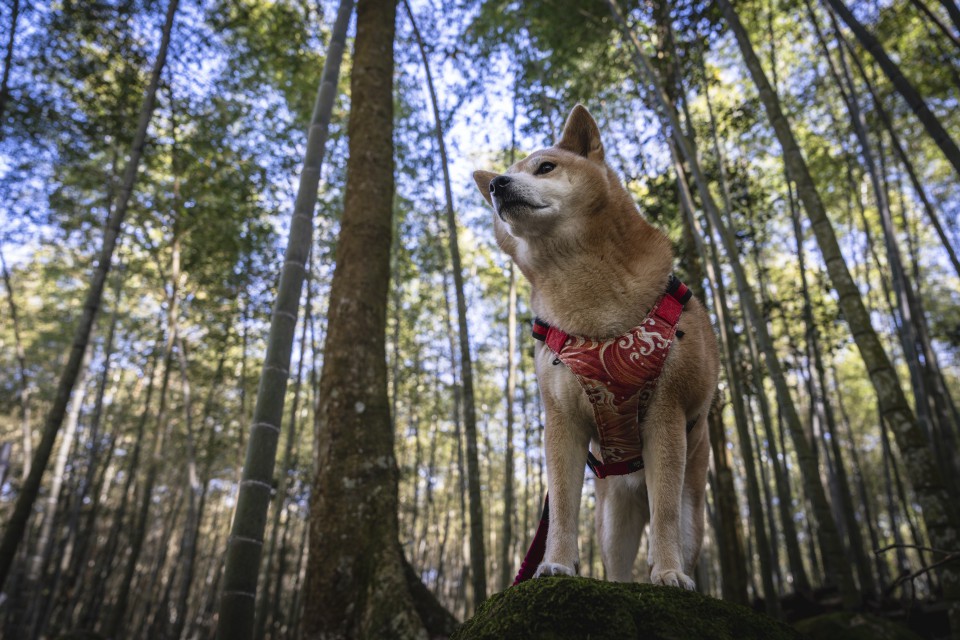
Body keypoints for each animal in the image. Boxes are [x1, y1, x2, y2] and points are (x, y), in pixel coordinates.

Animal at [472, 105, 720, 592]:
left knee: (673, 523)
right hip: (612, 517)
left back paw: (670, 569)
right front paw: (556, 564)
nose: (496, 185)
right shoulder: (562, 421)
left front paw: (668, 573)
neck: (594, 313)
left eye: (545, 167)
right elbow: (563, 507)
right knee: (618, 565)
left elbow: (664, 515)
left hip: (691, 500)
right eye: (503, 177)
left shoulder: (666, 412)